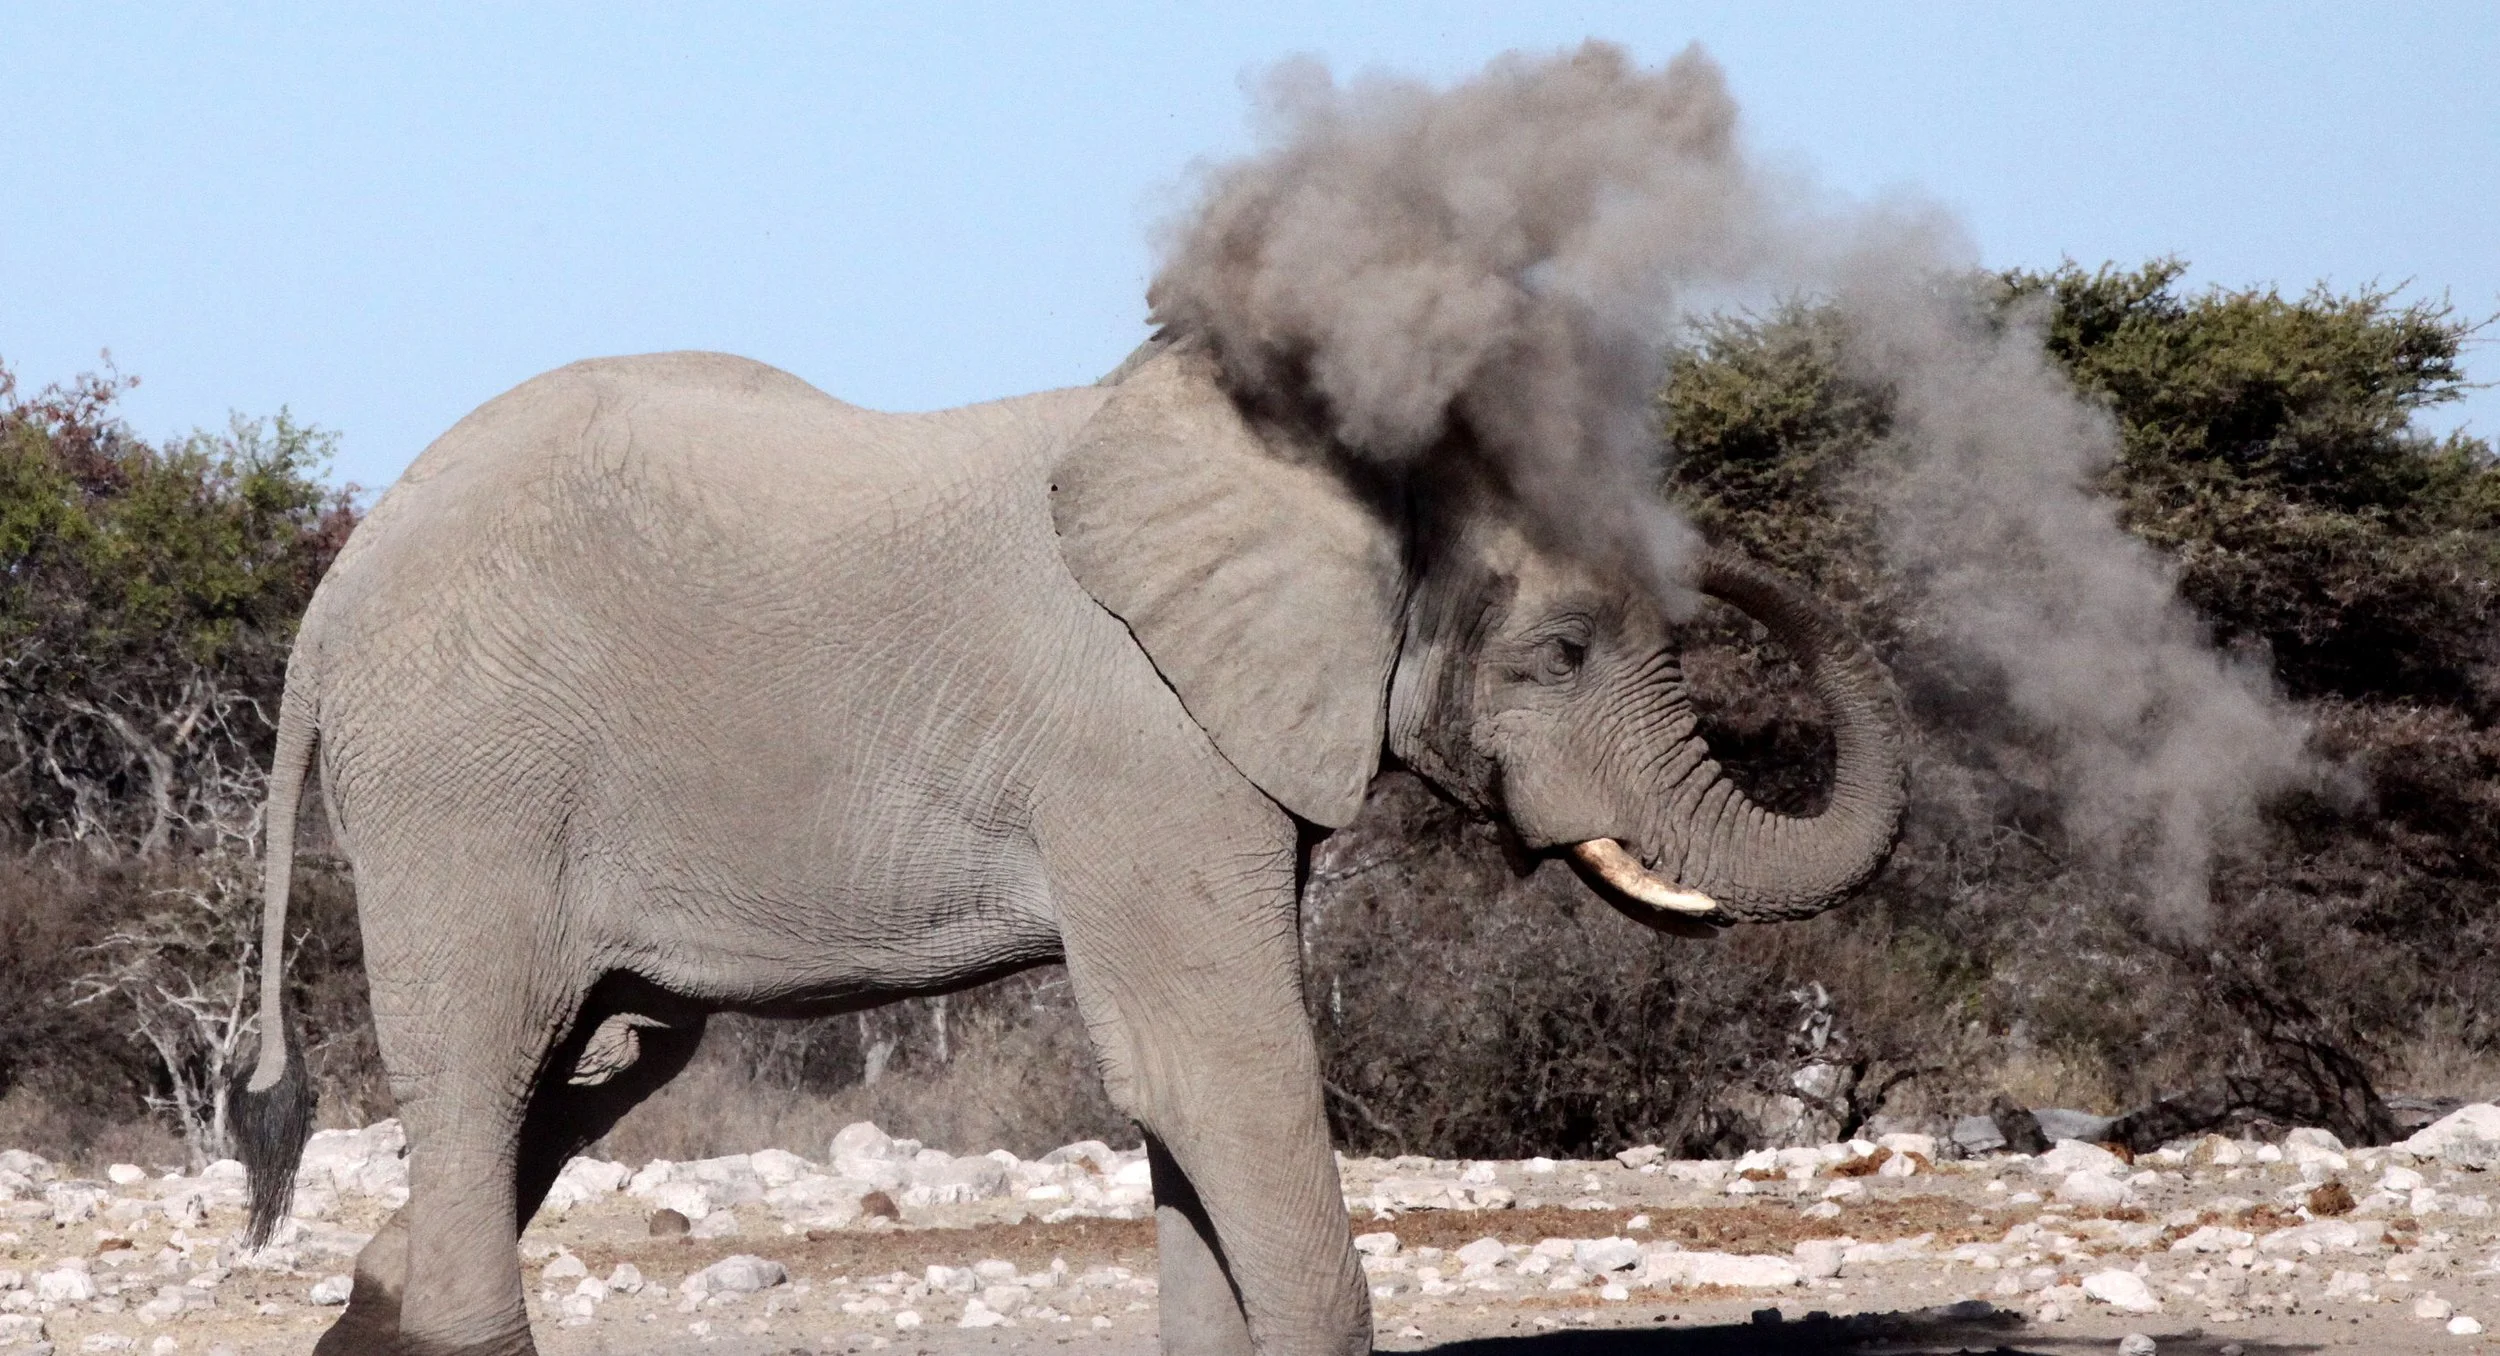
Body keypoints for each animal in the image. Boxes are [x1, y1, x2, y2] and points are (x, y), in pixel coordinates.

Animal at [225, 334, 1905, 1355]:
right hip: (468, 787)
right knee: (485, 1069)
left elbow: (1184, 1089)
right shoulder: (1142, 745)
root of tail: (337, 587)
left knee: (593, 1064)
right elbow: (1222, 1067)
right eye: (1556, 654)